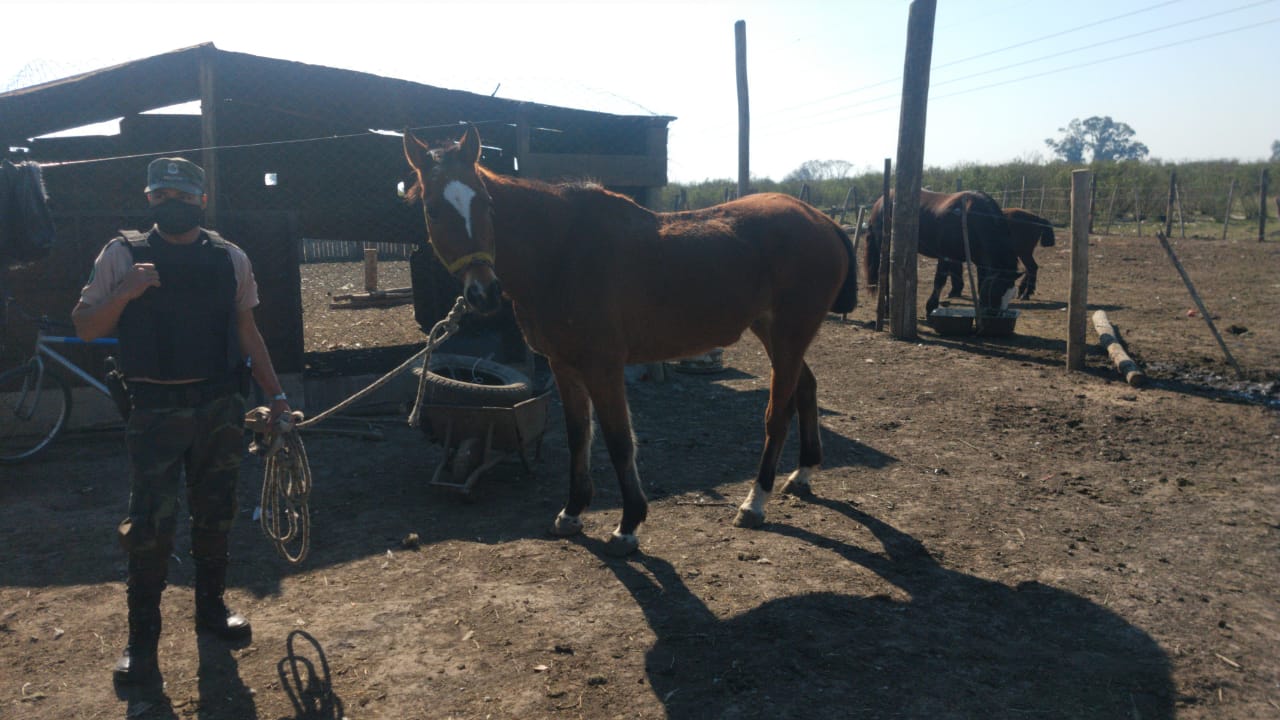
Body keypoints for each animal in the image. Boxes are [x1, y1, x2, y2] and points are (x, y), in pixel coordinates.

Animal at [404, 127, 855, 556]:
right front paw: (572, 512)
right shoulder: (563, 365)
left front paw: (628, 525)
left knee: (777, 414)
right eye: (432, 209)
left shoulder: (602, 367)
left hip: (789, 335)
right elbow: (579, 436)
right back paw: (802, 473)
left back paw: (755, 502)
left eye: (486, 205)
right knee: (805, 388)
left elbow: (619, 440)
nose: (484, 292)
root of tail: (821, 220)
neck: (560, 254)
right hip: (776, 335)